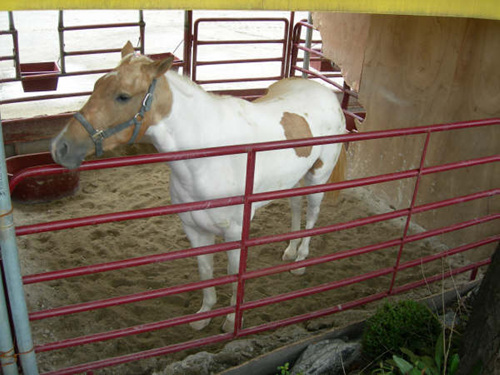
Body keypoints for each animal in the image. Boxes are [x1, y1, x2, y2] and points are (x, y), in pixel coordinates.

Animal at [51, 41, 348, 334]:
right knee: (296, 206)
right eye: (96, 85)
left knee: (312, 214)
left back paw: (301, 260)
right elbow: (205, 274)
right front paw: (204, 316)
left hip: (317, 177)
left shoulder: (235, 234)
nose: (60, 147)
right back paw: (290, 249)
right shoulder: (194, 229)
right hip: (293, 180)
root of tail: (326, 93)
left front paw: (231, 322)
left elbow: (233, 274)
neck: (209, 156)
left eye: (123, 96)